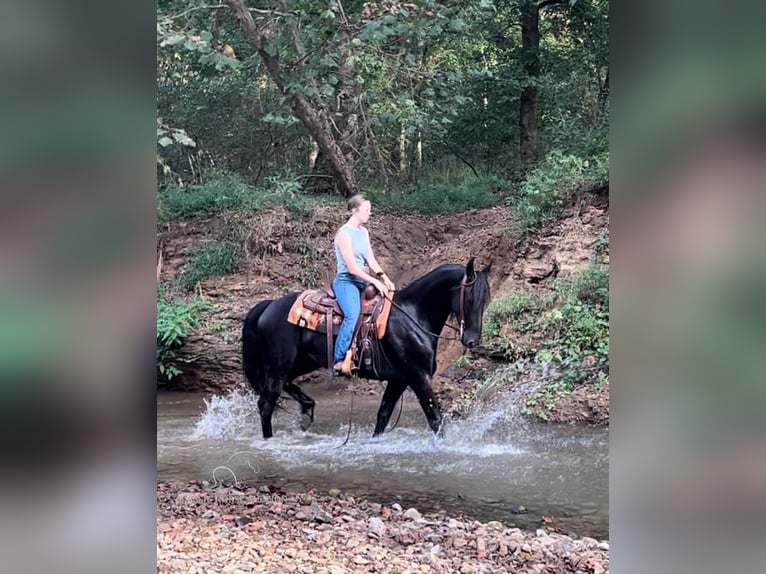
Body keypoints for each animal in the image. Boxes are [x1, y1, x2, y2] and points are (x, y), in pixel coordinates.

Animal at [242, 260, 492, 440]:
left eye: (485, 301)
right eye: (470, 298)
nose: (472, 341)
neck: (413, 315)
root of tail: (269, 305)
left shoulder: (399, 379)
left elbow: (383, 416)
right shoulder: (418, 377)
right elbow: (435, 419)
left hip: (301, 362)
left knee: (282, 387)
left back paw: (307, 410)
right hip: (279, 365)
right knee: (266, 404)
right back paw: (270, 438)